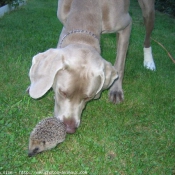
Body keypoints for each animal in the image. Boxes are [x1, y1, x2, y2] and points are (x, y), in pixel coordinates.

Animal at [28, 0, 156, 133]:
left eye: (87, 97)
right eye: (62, 93)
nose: (70, 128)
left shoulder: (126, 24)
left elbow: (120, 63)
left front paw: (116, 90)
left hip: (148, 11)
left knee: (147, 36)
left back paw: (149, 62)